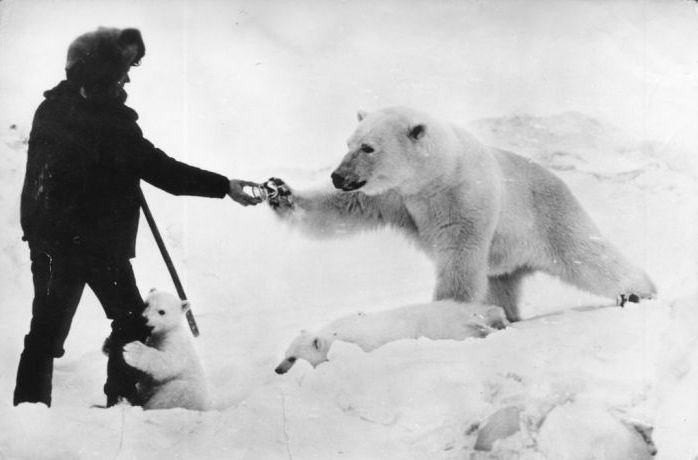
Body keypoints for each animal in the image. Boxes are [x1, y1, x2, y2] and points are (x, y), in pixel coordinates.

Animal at [266, 107, 652, 320]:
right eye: (349, 143)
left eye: (368, 147)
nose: (337, 175)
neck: (434, 177)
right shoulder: (394, 197)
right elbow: (343, 208)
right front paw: (279, 192)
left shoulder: (464, 198)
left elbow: (459, 256)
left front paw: (444, 313)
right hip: (505, 258)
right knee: (500, 284)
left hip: (548, 217)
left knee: (587, 256)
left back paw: (639, 293)